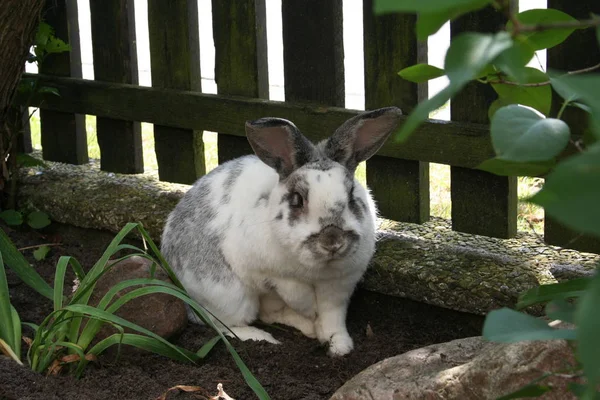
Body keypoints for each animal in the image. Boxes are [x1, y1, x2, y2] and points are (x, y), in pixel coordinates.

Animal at [162, 106, 400, 356]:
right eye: (297, 199)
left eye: (352, 196)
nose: (332, 241)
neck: (317, 269)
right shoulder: (272, 275)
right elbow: (298, 295)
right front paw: (310, 312)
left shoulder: (339, 286)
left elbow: (332, 317)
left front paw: (338, 345)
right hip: (230, 296)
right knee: (222, 324)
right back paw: (264, 338)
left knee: (267, 314)